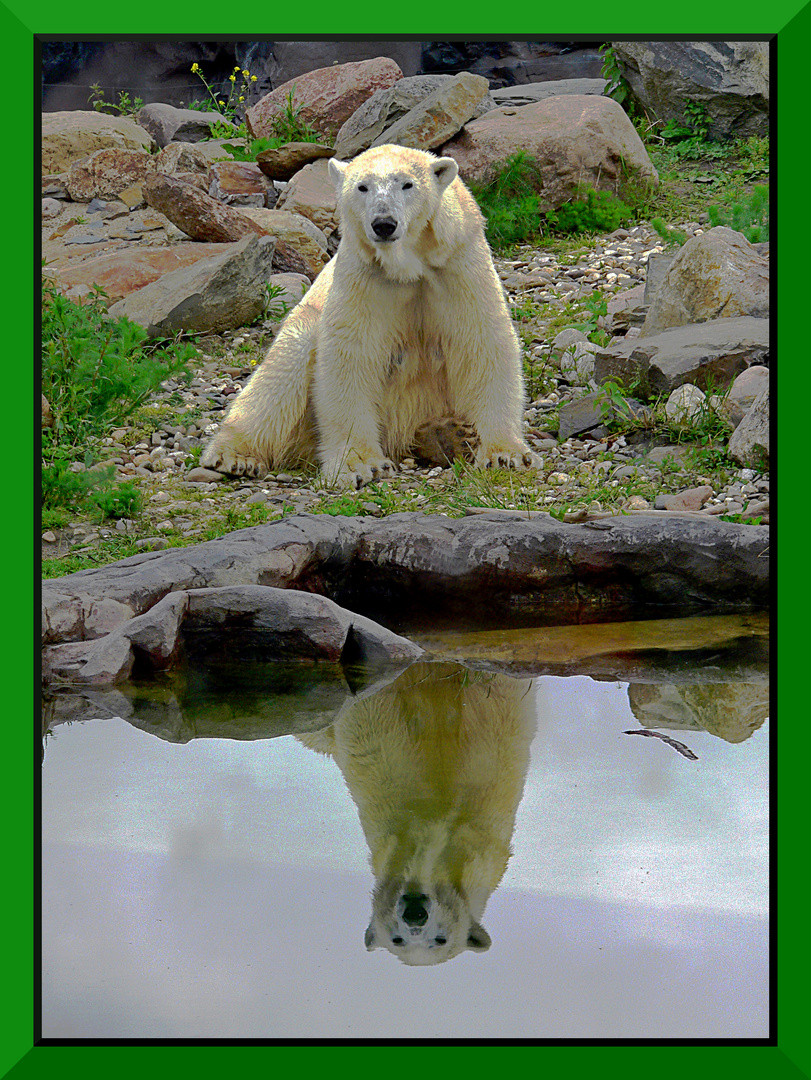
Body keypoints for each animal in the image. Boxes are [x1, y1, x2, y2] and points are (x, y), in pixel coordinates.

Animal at [201, 141, 533, 488]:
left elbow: (483, 342)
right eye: (362, 187)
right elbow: (353, 353)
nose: (384, 223)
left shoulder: (457, 263)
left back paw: (447, 435)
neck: (410, 262)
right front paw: (361, 465)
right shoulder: (365, 275)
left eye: (407, 184)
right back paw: (235, 456)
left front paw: (505, 454)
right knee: (282, 373)